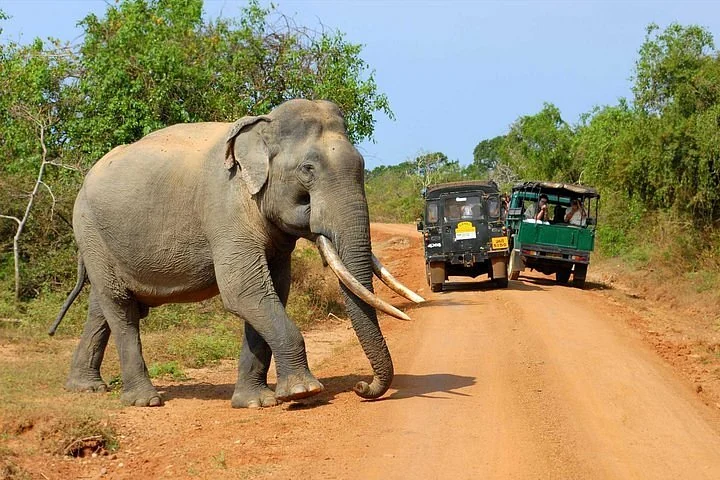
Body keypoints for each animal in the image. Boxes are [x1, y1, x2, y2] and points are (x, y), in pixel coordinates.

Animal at [49, 99, 424, 408]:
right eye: (308, 170)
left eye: (361, 166)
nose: (362, 387)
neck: (262, 128)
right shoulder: (225, 208)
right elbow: (244, 291)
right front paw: (303, 393)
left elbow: (273, 290)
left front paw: (256, 402)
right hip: (90, 229)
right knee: (120, 306)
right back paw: (145, 401)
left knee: (102, 305)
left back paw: (85, 387)